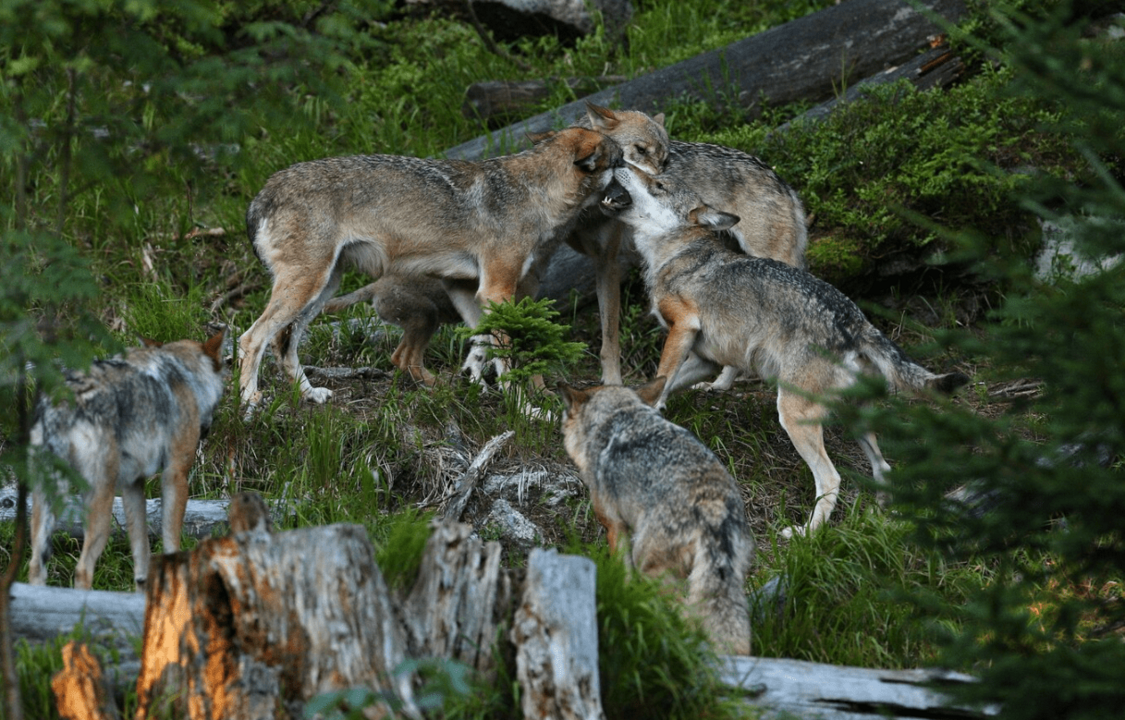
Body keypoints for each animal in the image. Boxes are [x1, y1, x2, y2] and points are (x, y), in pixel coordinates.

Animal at [28, 329, 228, 590]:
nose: (206, 430)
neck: (184, 374)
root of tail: (63, 402)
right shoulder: (175, 474)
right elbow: (171, 540)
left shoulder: (132, 484)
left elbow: (141, 553)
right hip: (100, 505)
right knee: (82, 569)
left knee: (35, 566)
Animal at [237, 126, 622, 409]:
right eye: (622, 163)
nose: (631, 195)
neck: (536, 193)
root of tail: (262, 193)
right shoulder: (496, 290)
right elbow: (507, 357)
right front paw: (526, 408)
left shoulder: (467, 290)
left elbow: (482, 345)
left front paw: (472, 383)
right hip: (307, 287)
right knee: (251, 338)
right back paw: (249, 401)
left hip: (322, 288)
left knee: (283, 343)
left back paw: (309, 394)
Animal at [559, 376, 754, 655]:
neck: (618, 414)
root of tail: (713, 508)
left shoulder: (615, 526)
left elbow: (622, 573)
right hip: (722, 579)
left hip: (649, 565)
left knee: (686, 614)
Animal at [600, 166, 969, 536]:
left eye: (658, 184)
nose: (619, 162)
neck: (676, 253)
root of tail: (856, 323)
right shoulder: (706, 360)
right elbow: (657, 384)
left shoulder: (683, 328)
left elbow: (661, 378)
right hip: (854, 420)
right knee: (884, 468)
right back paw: (881, 518)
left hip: (792, 415)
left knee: (831, 479)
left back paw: (805, 535)